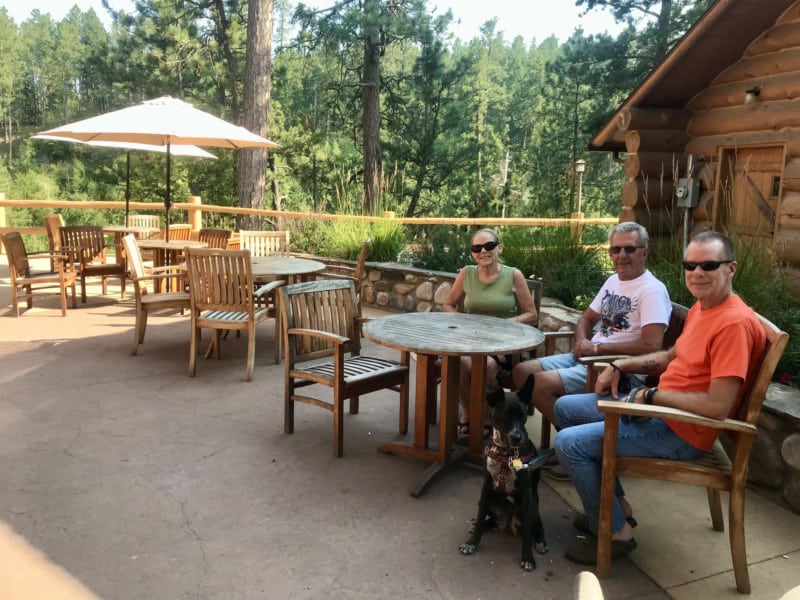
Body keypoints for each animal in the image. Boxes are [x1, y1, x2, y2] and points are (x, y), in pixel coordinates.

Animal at [460, 376, 552, 572]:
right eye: (503, 415)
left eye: (523, 415)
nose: (516, 437)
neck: (507, 452)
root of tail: (508, 525)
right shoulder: (487, 487)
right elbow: (481, 516)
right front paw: (472, 543)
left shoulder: (527, 494)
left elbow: (527, 535)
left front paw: (528, 558)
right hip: (492, 502)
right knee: (488, 520)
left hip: (533, 507)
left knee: (537, 527)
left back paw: (540, 542)